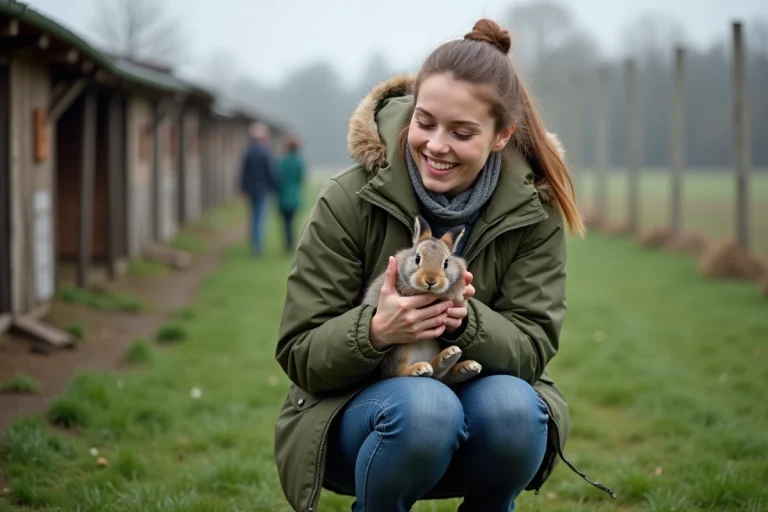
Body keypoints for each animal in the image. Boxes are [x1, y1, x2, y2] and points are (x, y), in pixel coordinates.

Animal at [362, 215, 482, 385]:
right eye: (418, 258)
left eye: (446, 263)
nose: (430, 281)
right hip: (401, 347)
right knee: (398, 372)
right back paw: (420, 368)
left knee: (438, 374)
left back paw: (461, 363)